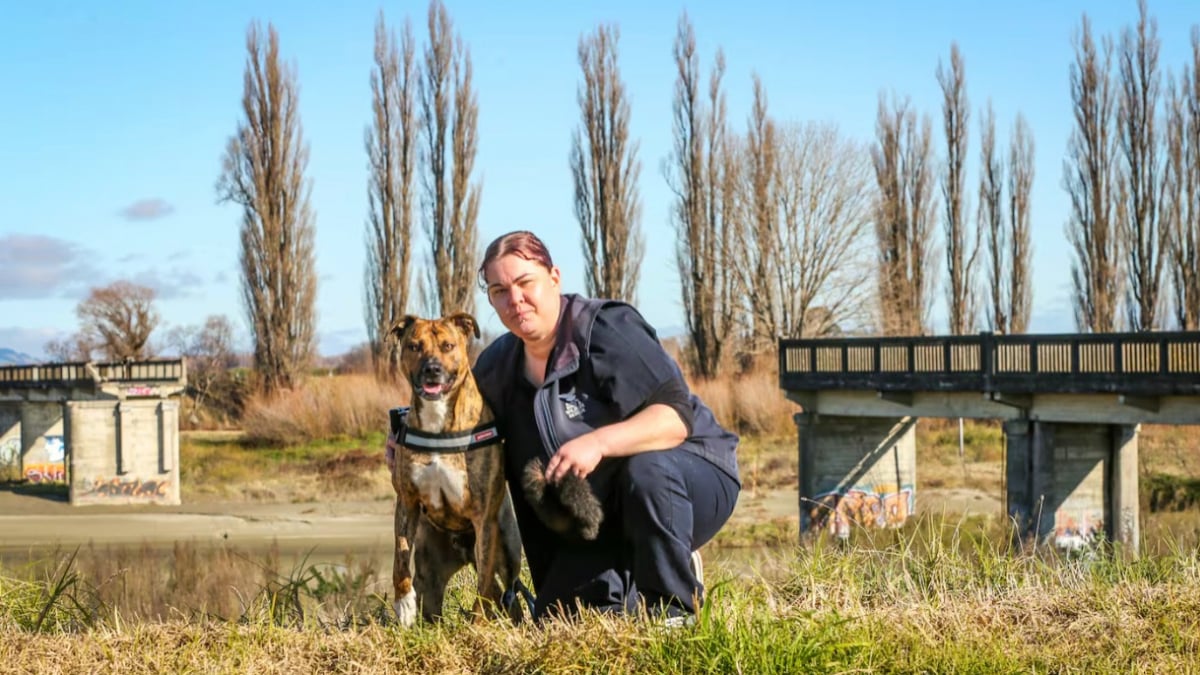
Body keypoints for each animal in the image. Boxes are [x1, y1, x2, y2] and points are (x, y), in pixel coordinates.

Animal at [388, 312, 525, 624]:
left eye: (448, 346)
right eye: (414, 346)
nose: (432, 369)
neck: (438, 419)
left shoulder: (484, 519)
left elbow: (483, 584)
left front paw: (478, 623)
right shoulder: (407, 502)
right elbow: (400, 556)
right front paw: (403, 603)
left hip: (506, 550)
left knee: (506, 592)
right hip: (431, 572)